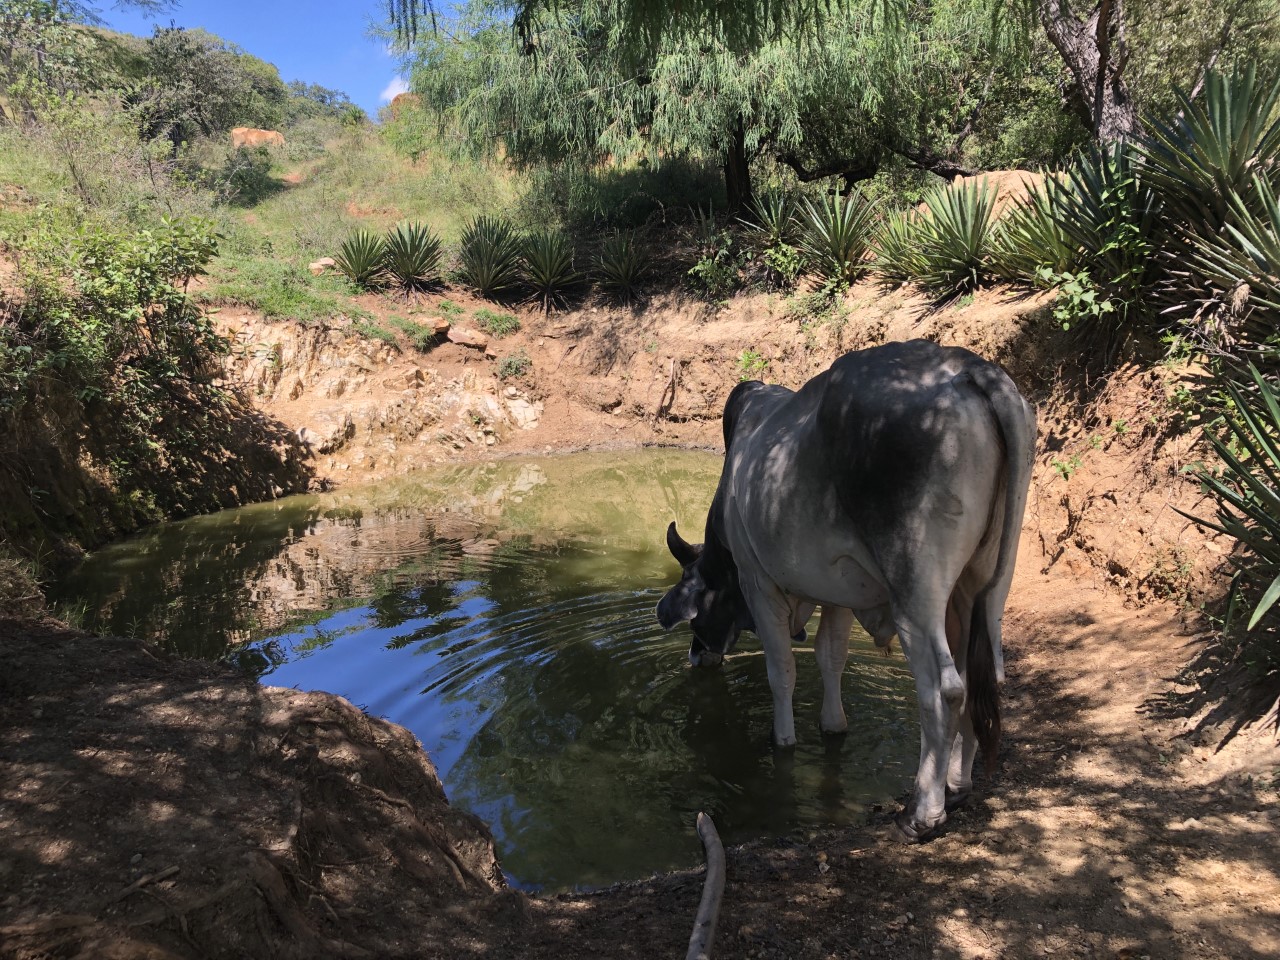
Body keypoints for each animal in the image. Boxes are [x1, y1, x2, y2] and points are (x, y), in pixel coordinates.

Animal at [655, 337, 1034, 839]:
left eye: (697, 612)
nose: (698, 656)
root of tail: (970, 369)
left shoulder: (759, 584)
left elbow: (782, 671)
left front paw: (782, 740)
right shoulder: (838, 593)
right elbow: (830, 656)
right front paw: (833, 725)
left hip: (916, 592)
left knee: (944, 689)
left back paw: (923, 811)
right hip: (984, 589)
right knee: (981, 674)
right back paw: (958, 783)